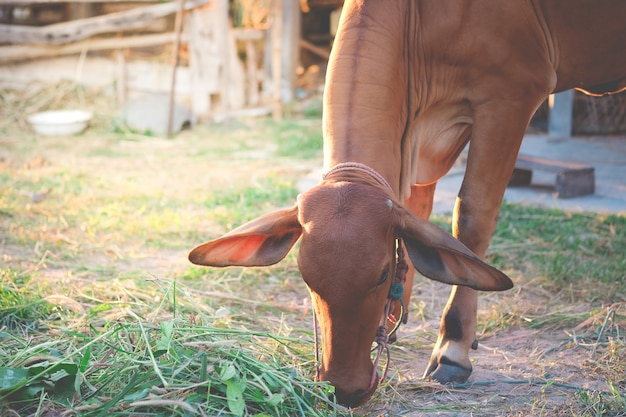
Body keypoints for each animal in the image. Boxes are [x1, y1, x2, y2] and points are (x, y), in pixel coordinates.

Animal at [189, 0, 624, 406]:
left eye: (381, 275)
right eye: (305, 277)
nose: (342, 388)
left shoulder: (511, 96)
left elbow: (472, 217)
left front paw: (453, 349)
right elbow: (416, 214)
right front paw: (400, 315)